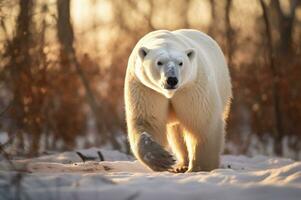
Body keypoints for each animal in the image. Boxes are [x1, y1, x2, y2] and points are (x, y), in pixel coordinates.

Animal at [123, 29, 231, 172]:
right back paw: (181, 165)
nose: (172, 80)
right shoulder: (146, 88)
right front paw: (162, 159)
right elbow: (147, 120)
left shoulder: (191, 87)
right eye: (159, 62)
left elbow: (201, 123)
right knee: (177, 133)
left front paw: (200, 168)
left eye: (181, 63)